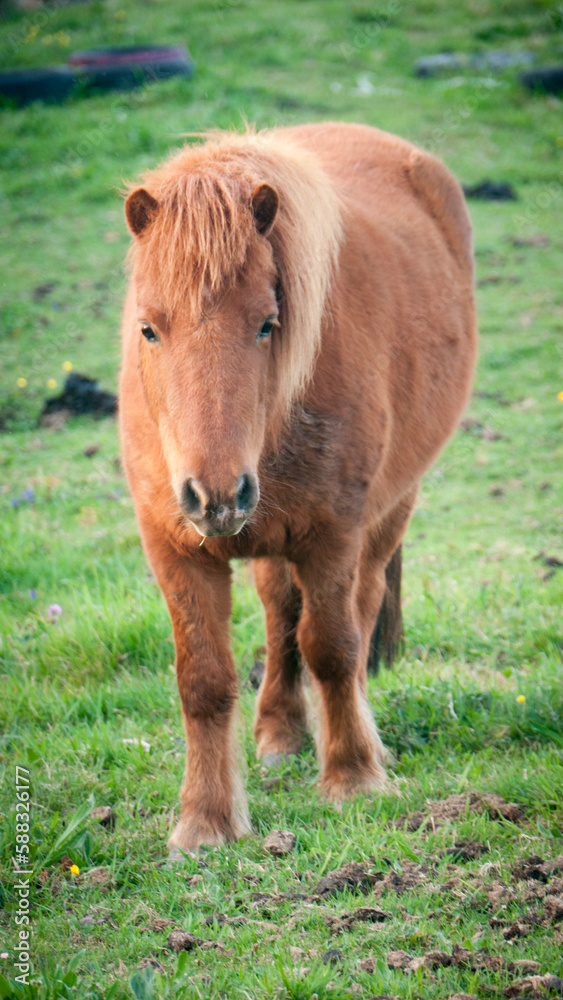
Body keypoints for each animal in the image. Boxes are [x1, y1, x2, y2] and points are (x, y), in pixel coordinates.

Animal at [119, 122, 477, 853]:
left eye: (266, 322)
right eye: (148, 329)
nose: (216, 495)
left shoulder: (331, 535)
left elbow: (333, 649)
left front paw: (352, 777)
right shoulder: (174, 548)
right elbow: (203, 680)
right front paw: (205, 822)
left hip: (387, 512)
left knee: (355, 613)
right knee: (280, 611)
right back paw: (280, 734)